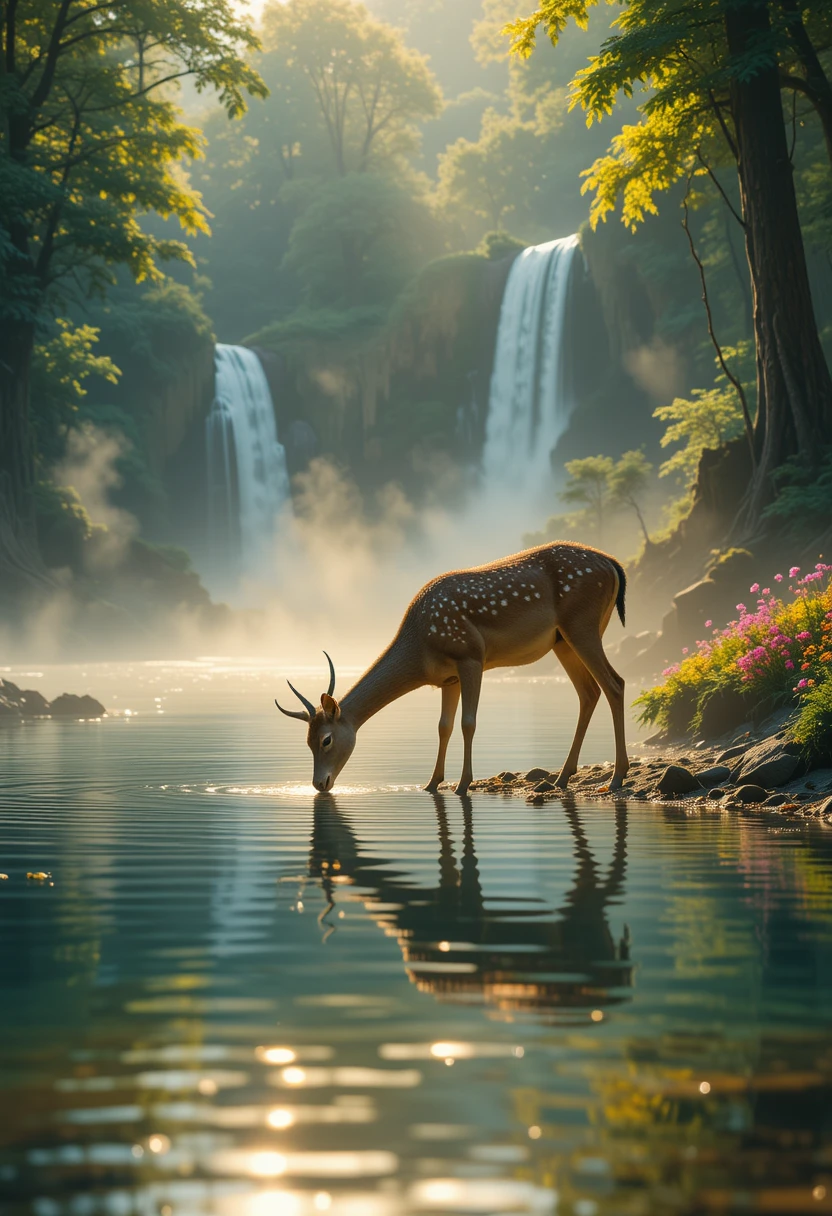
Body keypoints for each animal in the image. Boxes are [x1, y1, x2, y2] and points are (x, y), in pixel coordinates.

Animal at [275, 540, 629, 797]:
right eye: (307, 741)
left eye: (326, 740)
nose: (319, 784)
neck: (420, 647)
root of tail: (614, 564)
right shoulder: (448, 679)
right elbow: (443, 726)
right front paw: (432, 783)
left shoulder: (470, 656)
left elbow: (467, 722)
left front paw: (462, 785)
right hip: (562, 641)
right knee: (589, 692)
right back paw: (562, 778)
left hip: (582, 624)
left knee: (615, 683)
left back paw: (615, 779)